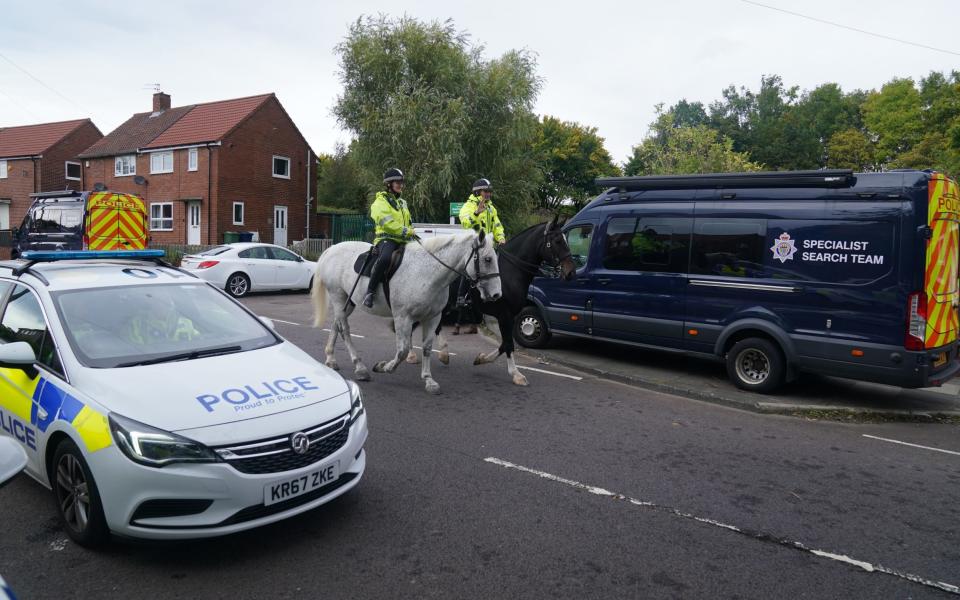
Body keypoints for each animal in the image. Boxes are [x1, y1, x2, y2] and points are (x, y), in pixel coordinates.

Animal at [314, 230, 502, 394]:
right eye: (487, 259)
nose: (496, 295)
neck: (426, 273)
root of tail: (331, 249)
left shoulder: (433, 318)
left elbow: (427, 347)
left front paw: (428, 380)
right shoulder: (403, 317)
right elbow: (403, 350)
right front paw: (384, 366)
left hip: (347, 303)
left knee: (336, 325)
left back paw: (331, 359)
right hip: (338, 298)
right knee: (345, 330)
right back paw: (360, 368)